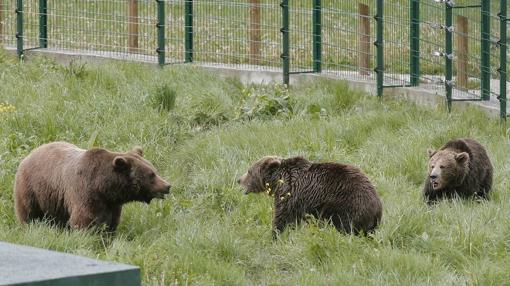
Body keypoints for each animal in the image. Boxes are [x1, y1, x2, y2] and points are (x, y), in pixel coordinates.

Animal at [14, 142, 171, 231]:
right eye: (151, 175)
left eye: (154, 171)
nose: (167, 185)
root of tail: (29, 154)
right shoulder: (84, 192)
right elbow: (85, 220)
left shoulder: (112, 204)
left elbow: (111, 222)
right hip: (32, 189)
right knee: (29, 213)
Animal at [237, 155, 380, 238]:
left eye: (249, 171)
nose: (239, 179)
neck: (278, 180)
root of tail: (377, 209)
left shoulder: (290, 194)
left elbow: (283, 217)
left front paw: (274, 235)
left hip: (346, 204)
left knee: (344, 226)